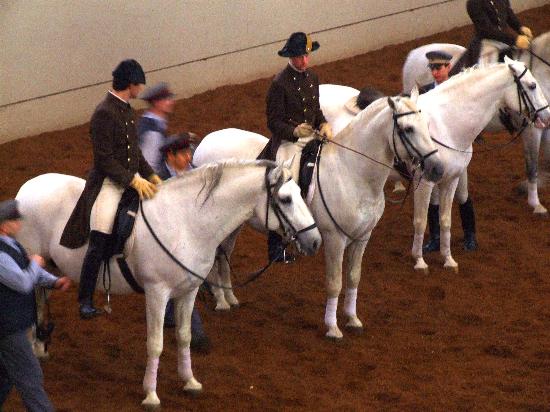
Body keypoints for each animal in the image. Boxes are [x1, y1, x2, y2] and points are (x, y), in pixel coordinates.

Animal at [15, 159, 324, 408]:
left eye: (300, 193)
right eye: (285, 199)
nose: (315, 241)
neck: (186, 222)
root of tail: (25, 190)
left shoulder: (188, 291)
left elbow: (184, 336)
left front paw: (190, 381)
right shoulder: (157, 293)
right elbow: (156, 343)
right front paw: (151, 395)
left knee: (41, 300)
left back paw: (41, 346)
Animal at [196, 92, 446, 338]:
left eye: (425, 124)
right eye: (408, 129)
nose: (438, 168)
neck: (351, 171)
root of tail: (203, 144)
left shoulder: (362, 237)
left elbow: (354, 277)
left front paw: (353, 319)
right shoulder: (335, 238)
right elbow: (335, 282)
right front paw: (332, 327)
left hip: (233, 224)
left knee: (224, 255)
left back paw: (230, 298)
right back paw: (221, 301)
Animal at [404, 32, 550, 214]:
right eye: (532, 86)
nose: (547, 112)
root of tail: (413, 54)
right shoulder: (531, 129)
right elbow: (532, 165)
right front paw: (535, 203)